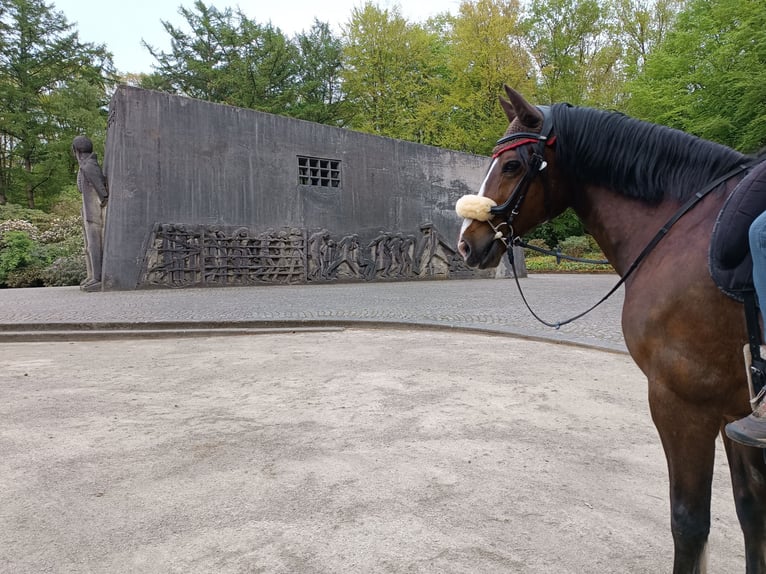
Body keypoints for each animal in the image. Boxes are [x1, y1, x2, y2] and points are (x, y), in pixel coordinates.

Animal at [456, 85, 766, 573]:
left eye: (512, 166)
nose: (467, 243)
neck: (683, 231)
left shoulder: (683, 403)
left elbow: (689, 523)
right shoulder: (735, 407)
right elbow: (751, 512)